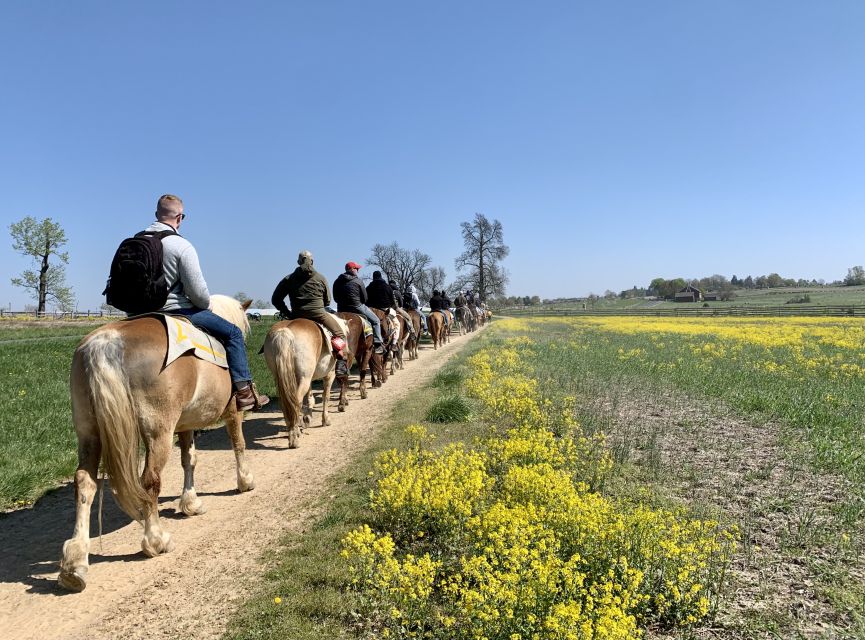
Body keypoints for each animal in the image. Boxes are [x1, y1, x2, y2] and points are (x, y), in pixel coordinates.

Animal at [59, 296, 255, 592]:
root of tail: (107, 341)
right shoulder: (232, 411)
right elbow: (238, 444)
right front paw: (245, 481)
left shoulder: (185, 425)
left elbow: (189, 460)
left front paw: (190, 503)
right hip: (158, 432)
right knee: (149, 480)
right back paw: (156, 539)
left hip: (89, 433)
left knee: (85, 482)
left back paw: (75, 562)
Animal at [262, 316, 346, 448]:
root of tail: (284, 331)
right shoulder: (329, 375)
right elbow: (325, 396)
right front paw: (325, 420)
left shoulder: (307, 379)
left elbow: (310, 397)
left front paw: (307, 418)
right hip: (304, 379)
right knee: (296, 402)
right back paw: (294, 438)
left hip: (282, 379)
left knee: (286, 403)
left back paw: (292, 429)